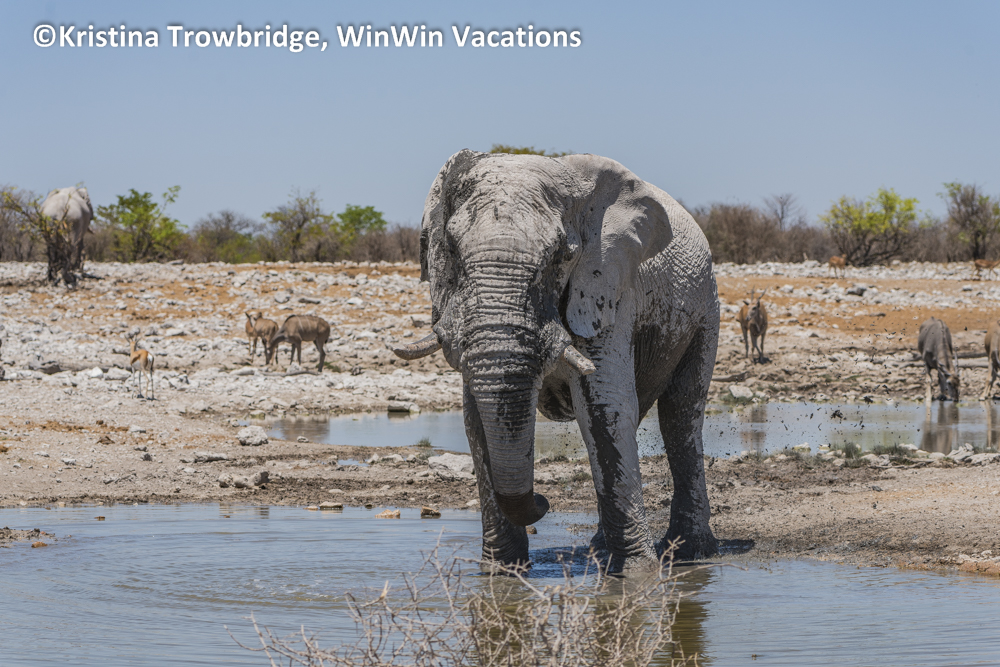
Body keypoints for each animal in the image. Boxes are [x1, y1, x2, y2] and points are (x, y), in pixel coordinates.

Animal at [393, 150, 720, 572]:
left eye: (561, 255)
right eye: (449, 249)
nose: (543, 501)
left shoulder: (605, 290)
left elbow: (605, 409)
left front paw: (637, 575)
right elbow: (476, 421)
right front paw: (501, 574)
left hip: (706, 310)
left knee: (680, 414)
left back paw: (688, 553)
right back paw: (600, 550)